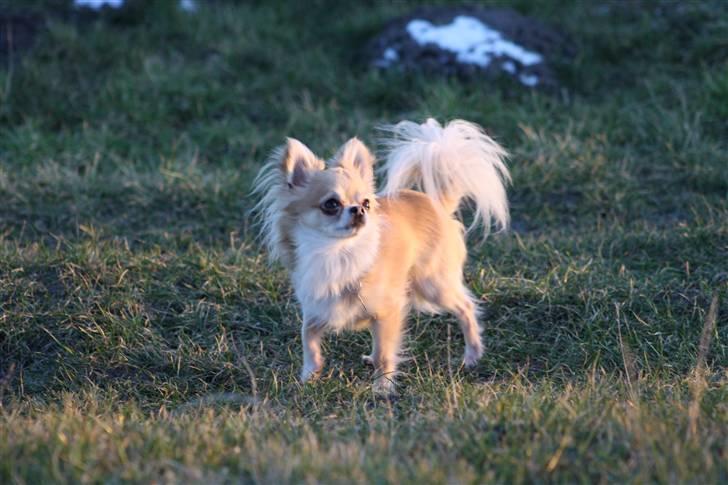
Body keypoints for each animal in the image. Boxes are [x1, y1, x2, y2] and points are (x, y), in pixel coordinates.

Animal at [253, 118, 510, 394]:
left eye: (366, 203)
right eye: (331, 204)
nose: (359, 210)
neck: (337, 253)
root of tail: (437, 205)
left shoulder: (388, 312)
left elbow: (385, 353)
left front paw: (383, 388)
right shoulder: (315, 309)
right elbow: (309, 342)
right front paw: (308, 378)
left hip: (432, 284)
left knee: (465, 307)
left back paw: (473, 355)